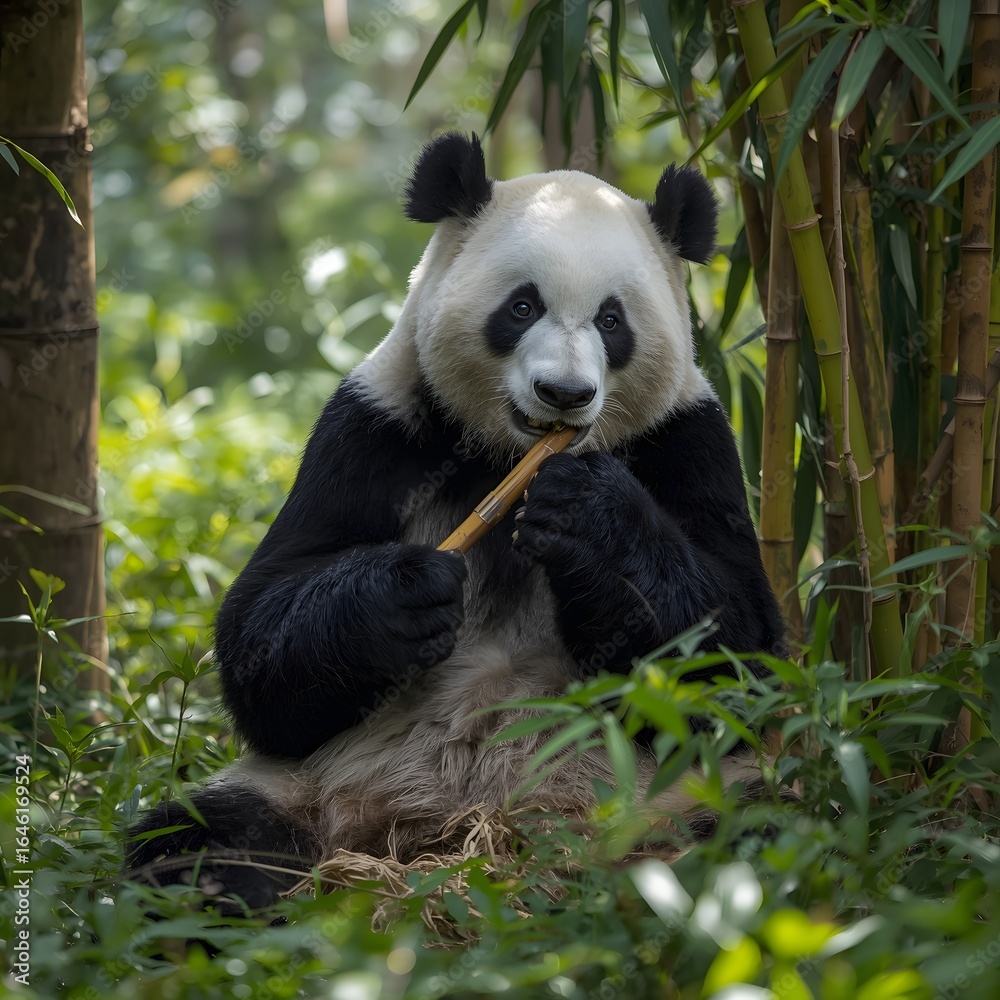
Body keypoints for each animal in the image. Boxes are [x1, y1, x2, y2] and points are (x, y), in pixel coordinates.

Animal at [127, 133, 785, 910]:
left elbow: (740, 655)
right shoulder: (374, 426)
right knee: (199, 838)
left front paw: (587, 515)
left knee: (767, 828)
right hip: (307, 784)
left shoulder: (689, 438)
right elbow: (261, 643)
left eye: (612, 320)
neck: (510, 455)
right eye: (522, 306)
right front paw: (401, 597)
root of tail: (452, 836)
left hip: (676, 797)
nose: (564, 393)